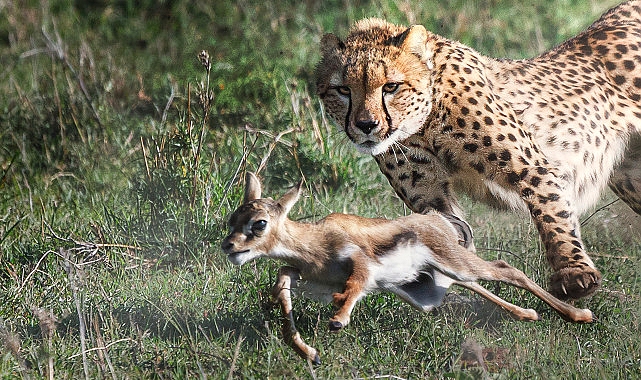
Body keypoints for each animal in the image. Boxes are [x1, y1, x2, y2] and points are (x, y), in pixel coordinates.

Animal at [316, 2, 640, 300]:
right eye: (343, 90)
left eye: (391, 86)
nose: (366, 125)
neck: (425, 122)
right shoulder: (429, 195)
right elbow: (444, 227)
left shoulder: (533, 168)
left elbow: (552, 214)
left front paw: (574, 272)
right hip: (630, 177)